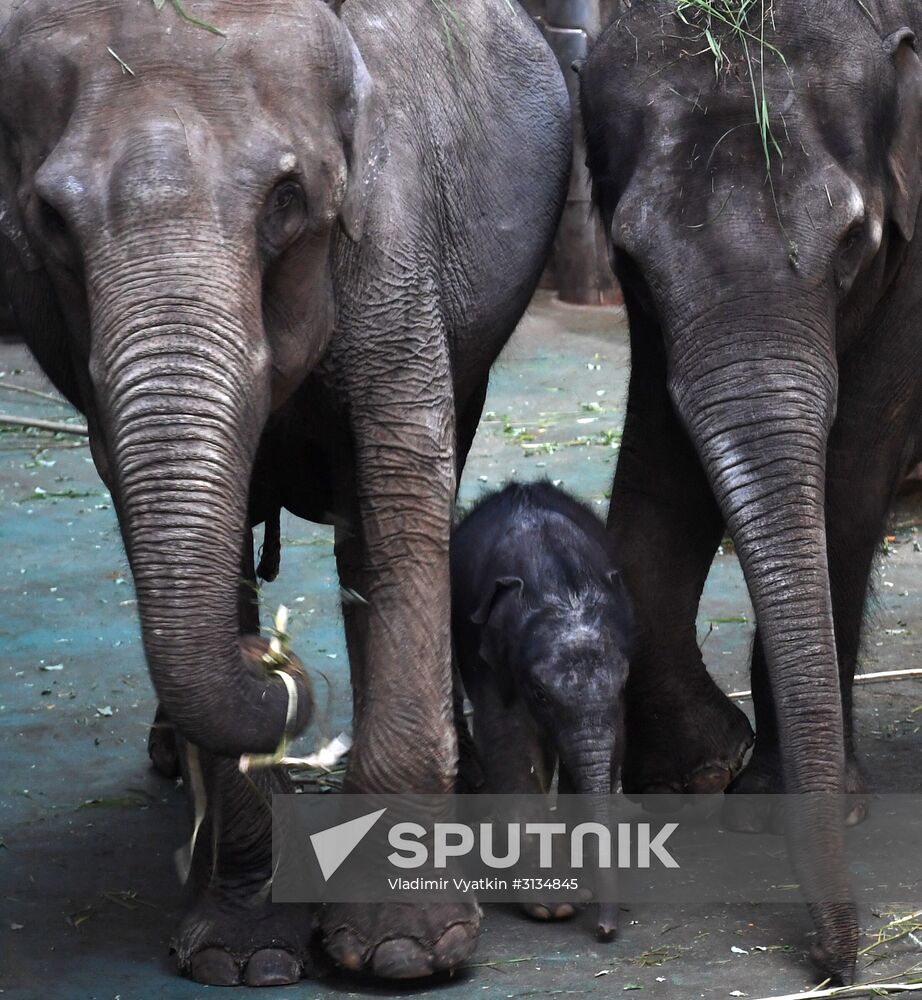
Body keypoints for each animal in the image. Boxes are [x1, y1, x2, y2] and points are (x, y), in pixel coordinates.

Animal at [0, 0, 571, 985]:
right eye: (49, 218)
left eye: (286, 200)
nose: (280, 666)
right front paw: (242, 958)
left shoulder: (395, 233)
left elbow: (403, 475)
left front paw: (404, 954)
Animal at [450, 481, 633, 938]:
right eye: (540, 695)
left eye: (623, 682)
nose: (605, 932)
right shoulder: (490, 658)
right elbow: (510, 742)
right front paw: (553, 907)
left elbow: (613, 743)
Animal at [581, 0, 922, 984]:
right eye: (631, 257)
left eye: (854, 242)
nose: (838, 966)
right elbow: (660, 461)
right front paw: (697, 770)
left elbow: (850, 469)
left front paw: (800, 799)